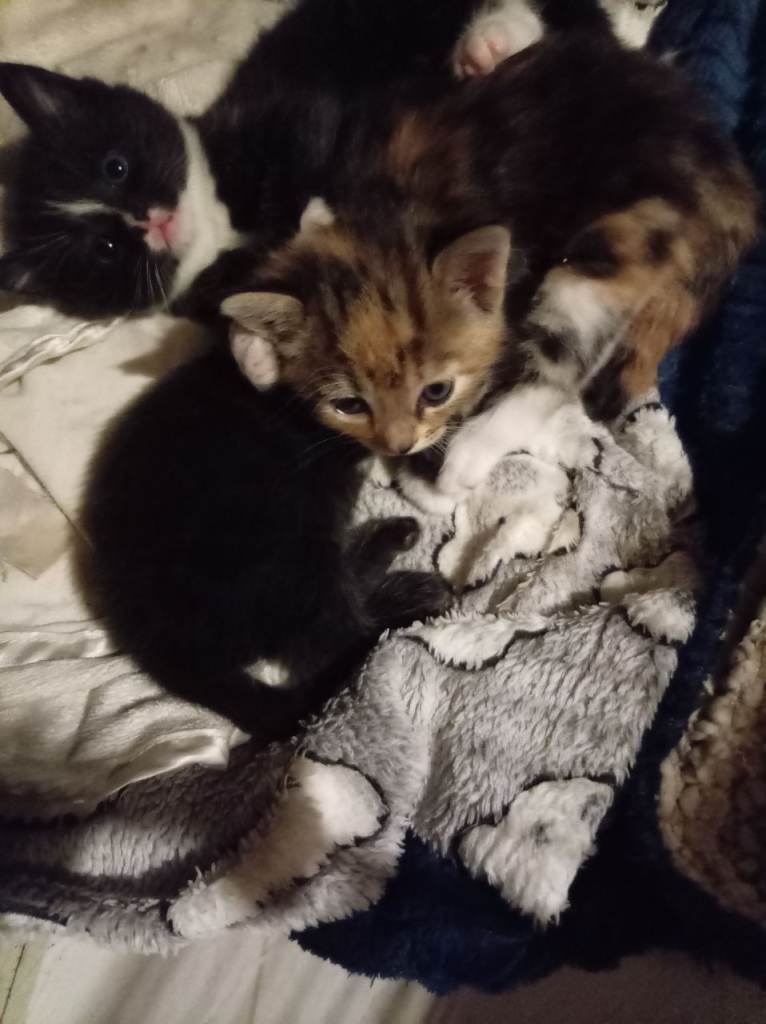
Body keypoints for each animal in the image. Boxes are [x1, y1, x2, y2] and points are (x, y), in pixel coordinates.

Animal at [0, 0, 613, 320]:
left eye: (116, 167)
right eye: (103, 251)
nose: (150, 221)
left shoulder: (282, 111)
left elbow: (319, 139)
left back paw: (490, 42)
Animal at [220, 33, 758, 500]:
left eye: (436, 392)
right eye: (350, 405)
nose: (399, 446)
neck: (392, 209)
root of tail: (733, 187)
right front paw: (259, 351)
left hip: (625, 239)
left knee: (565, 359)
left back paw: (471, 453)